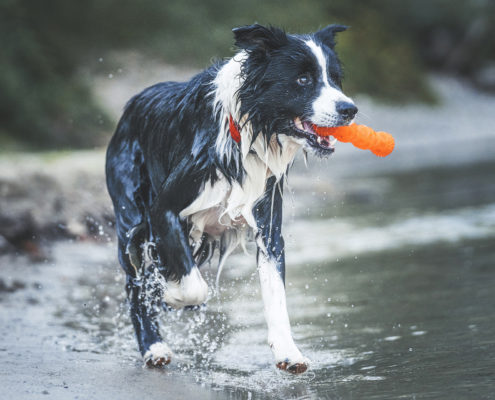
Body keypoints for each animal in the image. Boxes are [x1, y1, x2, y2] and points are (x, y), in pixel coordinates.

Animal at [106, 24, 358, 376]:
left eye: (335, 78)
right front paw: (172, 295)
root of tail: (131, 105)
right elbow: (192, 285)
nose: (350, 109)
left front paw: (289, 352)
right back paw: (154, 347)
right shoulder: (163, 210)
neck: (248, 132)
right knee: (136, 285)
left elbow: (276, 293)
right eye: (303, 79)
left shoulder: (268, 226)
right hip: (131, 217)